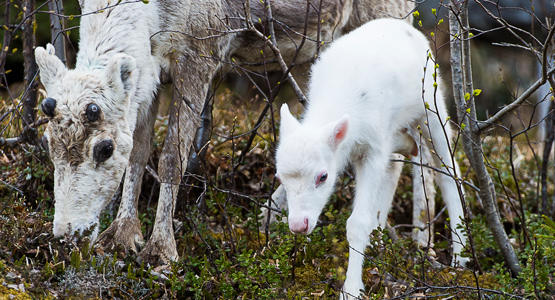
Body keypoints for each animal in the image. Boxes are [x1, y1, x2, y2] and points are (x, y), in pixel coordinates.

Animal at [276, 18, 466, 298]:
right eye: (279, 177)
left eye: (323, 176)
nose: (299, 225)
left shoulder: (373, 151)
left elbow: (356, 223)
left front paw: (351, 288)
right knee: (399, 163)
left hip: (431, 108)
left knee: (449, 172)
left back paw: (460, 256)